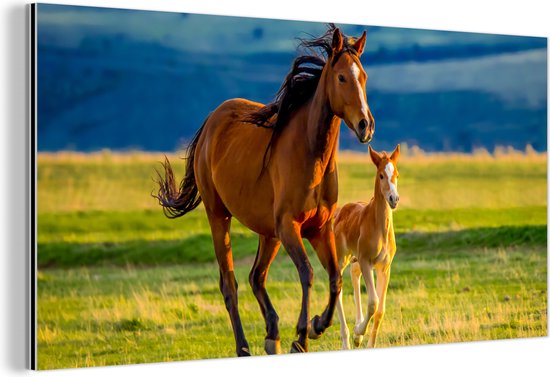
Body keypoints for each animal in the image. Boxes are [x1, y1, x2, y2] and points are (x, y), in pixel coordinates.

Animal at [155, 25, 376, 356]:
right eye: (341, 78)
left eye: (363, 77)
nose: (366, 126)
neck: (310, 154)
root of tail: (211, 122)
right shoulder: (289, 227)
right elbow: (308, 273)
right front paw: (301, 336)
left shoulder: (319, 229)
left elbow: (335, 278)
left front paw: (316, 325)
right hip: (220, 217)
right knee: (230, 284)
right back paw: (244, 346)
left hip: (268, 233)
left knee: (256, 277)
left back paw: (272, 336)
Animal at [334, 145, 404, 350]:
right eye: (381, 175)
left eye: (396, 174)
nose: (394, 199)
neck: (378, 225)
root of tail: (340, 212)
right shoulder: (366, 261)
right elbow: (373, 301)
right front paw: (359, 331)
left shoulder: (384, 267)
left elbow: (380, 309)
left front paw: (366, 341)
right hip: (342, 258)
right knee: (338, 288)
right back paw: (347, 340)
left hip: (355, 259)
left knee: (354, 274)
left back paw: (356, 334)